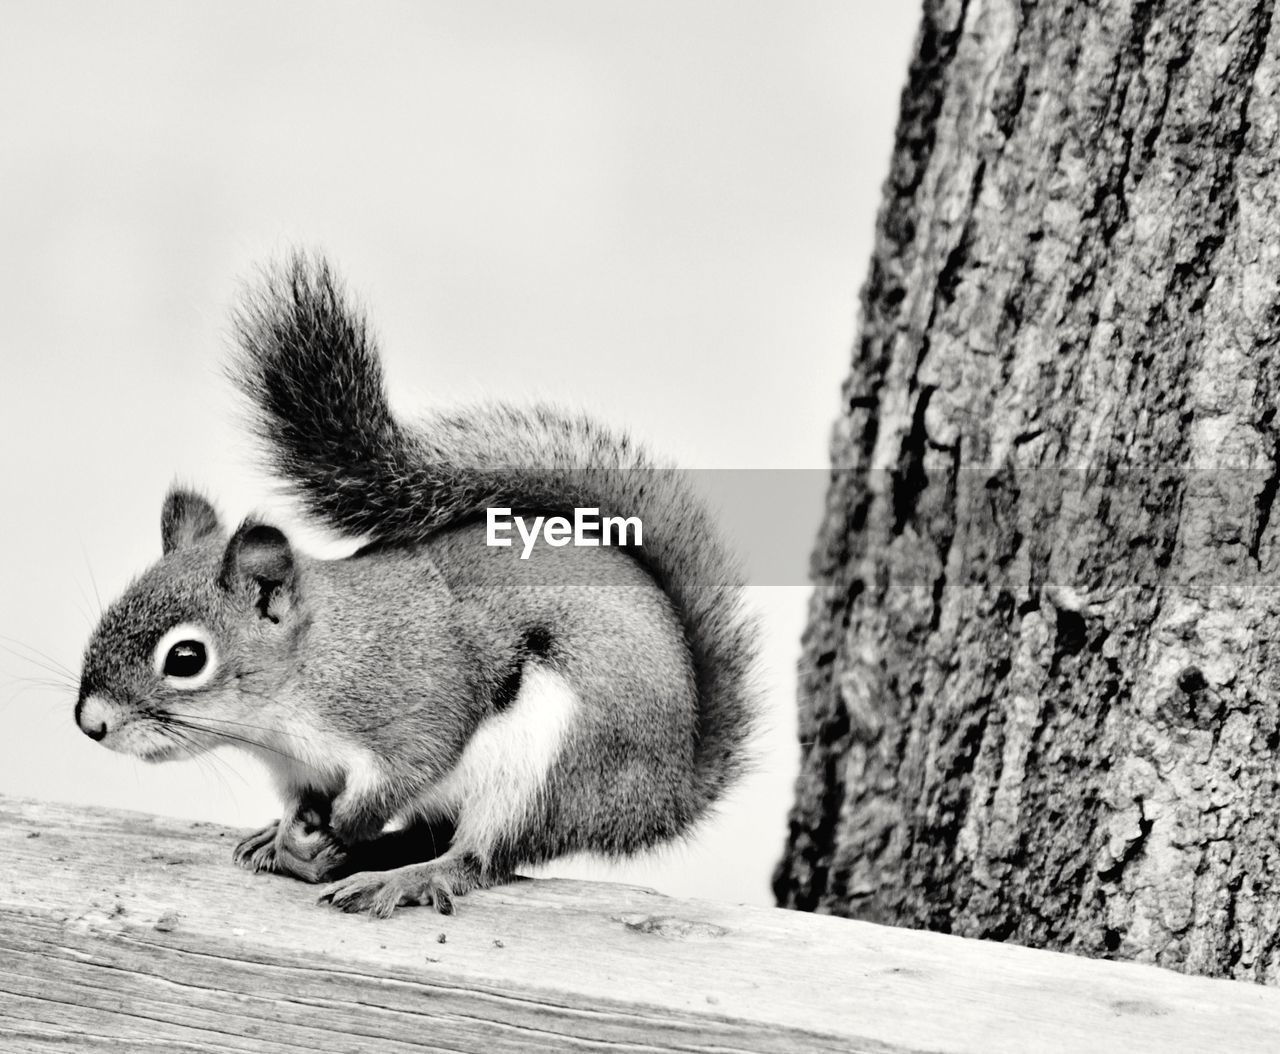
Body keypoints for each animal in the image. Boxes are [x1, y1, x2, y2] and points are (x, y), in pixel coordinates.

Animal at [74, 256, 757, 916]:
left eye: (186, 658)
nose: (90, 724)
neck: (301, 682)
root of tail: (666, 798)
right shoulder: (300, 771)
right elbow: (305, 804)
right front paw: (287, 834)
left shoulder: (412, 701)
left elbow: (413, 765)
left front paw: (346, 824)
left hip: (552, 767)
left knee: (479, 857)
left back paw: (400, 877)